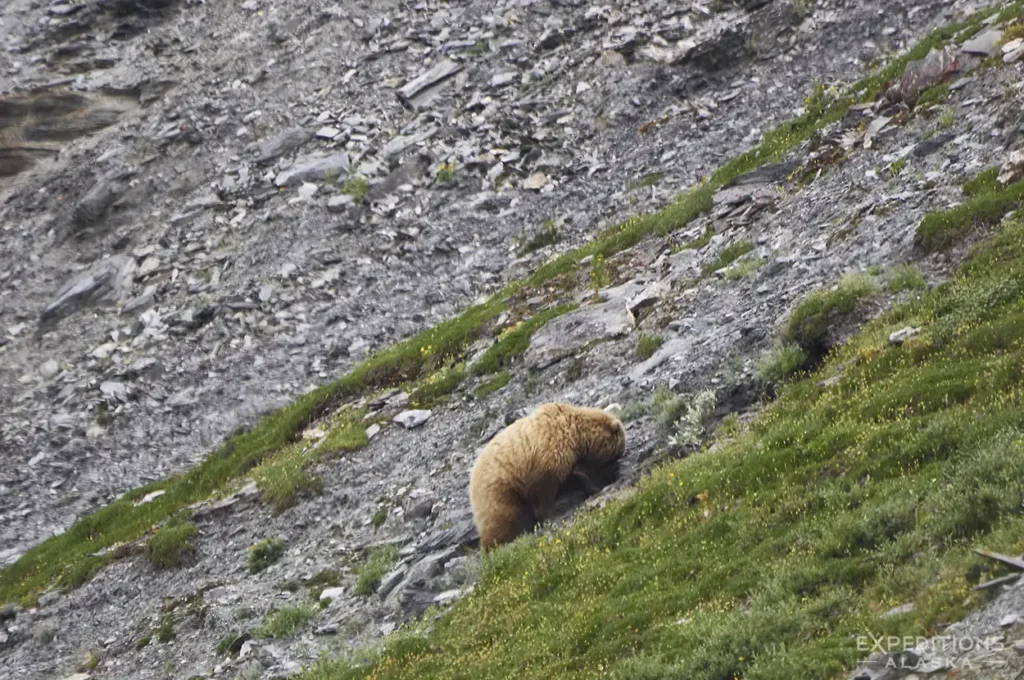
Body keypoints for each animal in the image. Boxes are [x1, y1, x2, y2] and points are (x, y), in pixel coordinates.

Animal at [468, 402, 627, 551]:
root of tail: (472, 478)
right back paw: (495, 545)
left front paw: (590, 487)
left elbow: (571, 478)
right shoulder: (547, 456)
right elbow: (544, 490)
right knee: (503, 518)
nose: (615, 471)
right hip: (500, 490)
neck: (577, 436)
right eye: (617, 453)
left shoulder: (565, 460)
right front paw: (548, 515)